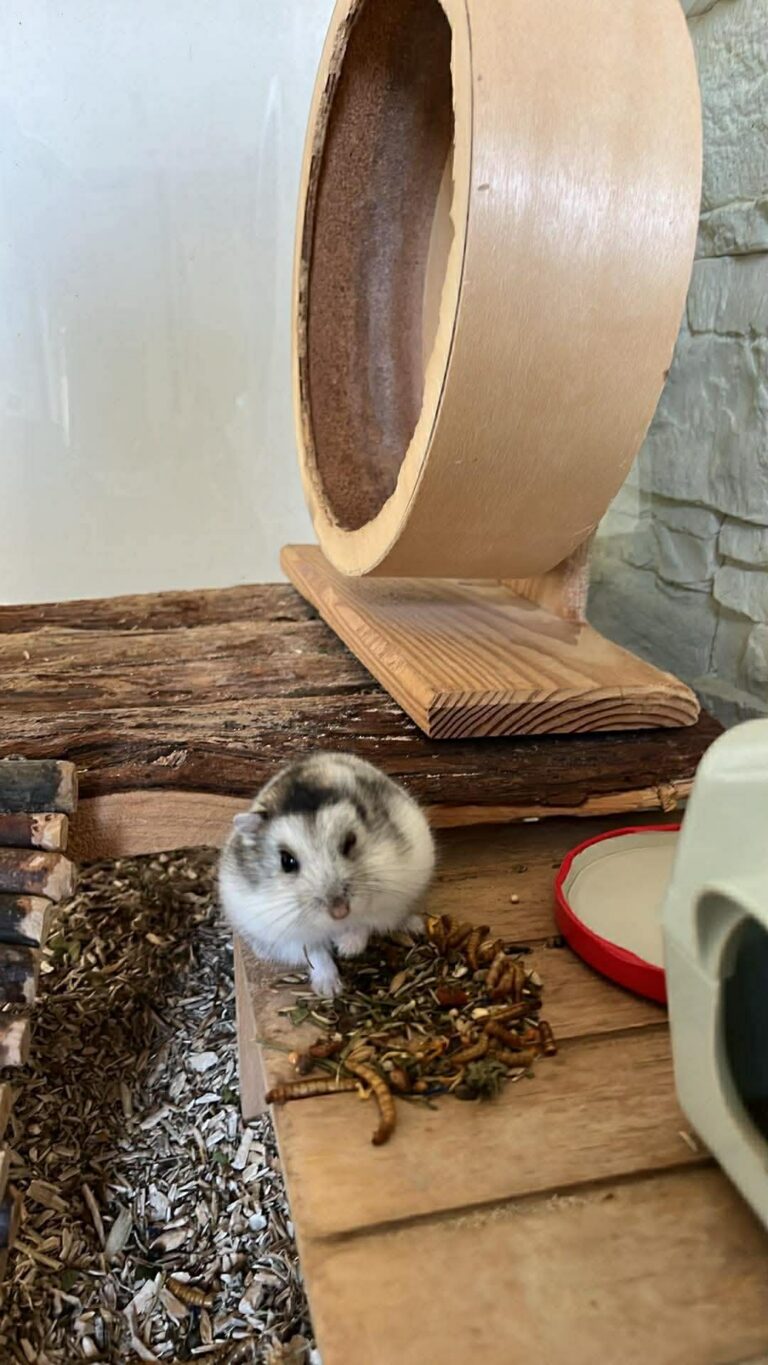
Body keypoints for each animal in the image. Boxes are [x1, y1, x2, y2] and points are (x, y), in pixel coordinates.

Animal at [218, 752, 435, 997]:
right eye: (286, 861)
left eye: (349, 842)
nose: (339, 912)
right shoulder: (287, 935)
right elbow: (316, 953)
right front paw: (329, 990)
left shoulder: (388, 902)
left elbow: (364, 924)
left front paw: (347, 948)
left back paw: (415, 925)